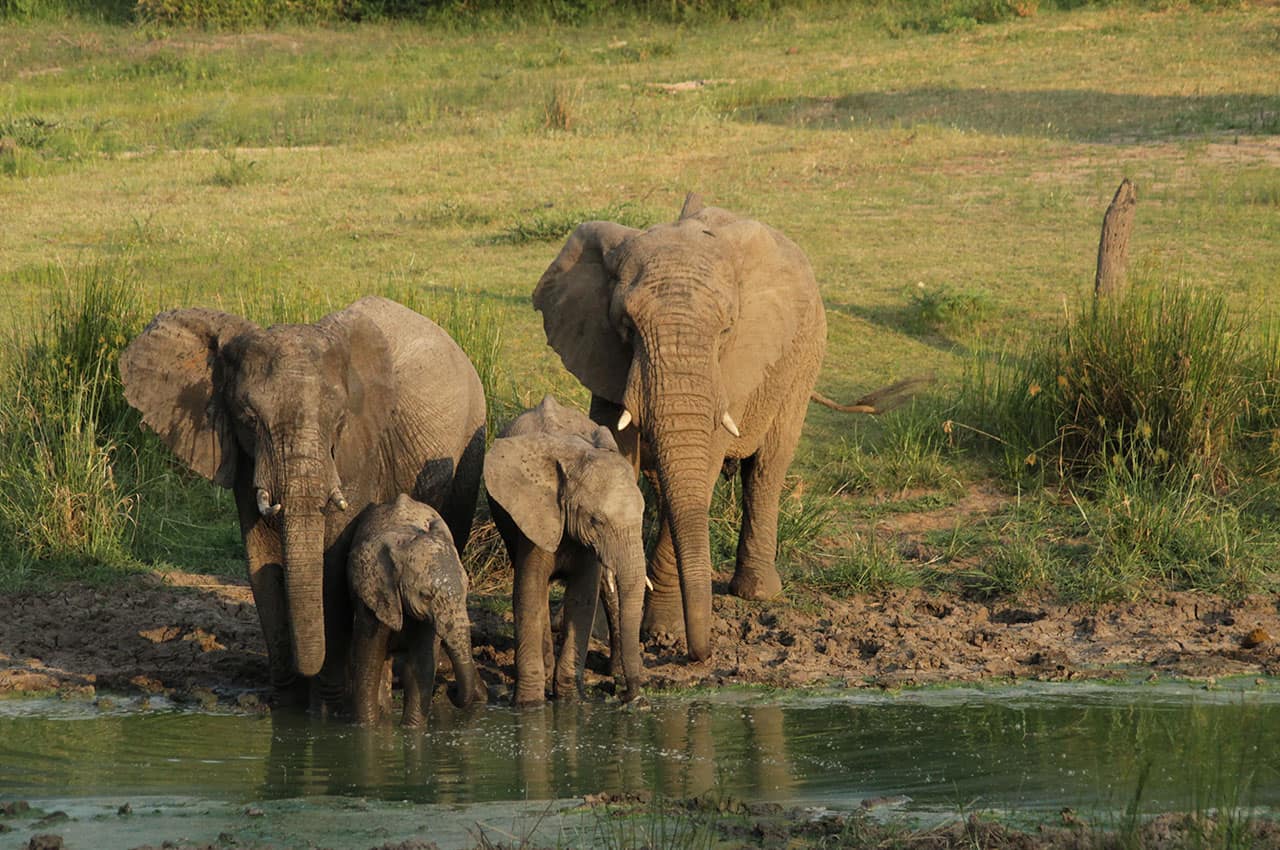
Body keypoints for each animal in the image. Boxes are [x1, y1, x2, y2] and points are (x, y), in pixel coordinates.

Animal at [347, 494, 485, 726]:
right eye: (425, 596)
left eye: (467, 588)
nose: (450, 691)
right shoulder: (375, 595)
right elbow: (369, 666)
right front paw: (367, 728)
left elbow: (420, 667)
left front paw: (412, 729)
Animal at [484, 395, 646, 706]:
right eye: (596, 520)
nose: (624, 693)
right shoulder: (537, 518)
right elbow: (528, 592)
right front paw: (529, 704)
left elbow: (583, 597)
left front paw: (570, 700)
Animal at [533, 196, 910, 662]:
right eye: (627, 326)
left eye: (727, 329)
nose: (701, 652)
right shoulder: (604, 357)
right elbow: (619, 458)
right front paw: (603, 629)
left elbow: (704, 470)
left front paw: (663, 632)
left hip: (805, 357)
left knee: (767, 468)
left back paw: (757, 593)